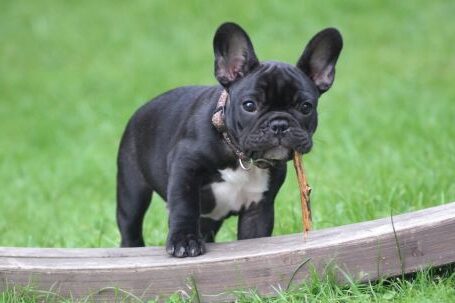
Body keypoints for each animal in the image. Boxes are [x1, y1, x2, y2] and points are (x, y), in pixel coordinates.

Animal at [116, 22, 342, 258]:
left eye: (306, 107)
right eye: (249, 105)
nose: (279, 124)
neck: (238, 154)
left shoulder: (258, 208)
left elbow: (255, 237)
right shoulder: (184, 168)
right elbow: (184, 205)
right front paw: (184, 240)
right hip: (132, 190)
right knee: (130, 225)